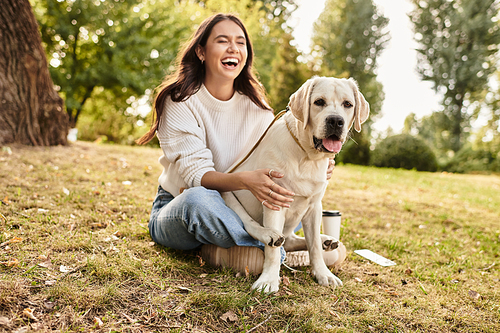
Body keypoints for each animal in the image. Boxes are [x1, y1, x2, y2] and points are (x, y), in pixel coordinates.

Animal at [224, 75, 372, 290]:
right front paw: (268, 279)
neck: (308, 156)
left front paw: (323, 274)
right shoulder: (274, 200)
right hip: (226, 191)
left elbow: (314, 247)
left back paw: (326, 240)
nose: (336, 121)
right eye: (319, 102)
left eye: (347, 104)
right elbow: (273, 252)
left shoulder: (314, 206)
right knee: (252, 226)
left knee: (292, 240)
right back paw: (268, 234)